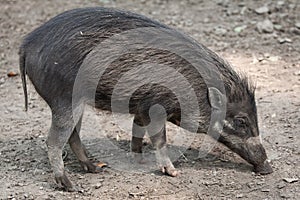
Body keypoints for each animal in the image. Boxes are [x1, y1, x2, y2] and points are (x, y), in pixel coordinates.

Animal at [18, 7, 272, 191]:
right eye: (241, 121)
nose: (268, 168)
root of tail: (26, 45)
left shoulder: (141, 108)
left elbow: (137, 132)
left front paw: (138, 160)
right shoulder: (155, 107)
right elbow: (159, 139)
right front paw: (173, 172)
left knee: (73, 136)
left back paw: (96, 168)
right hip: (63, 98)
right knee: (54, 140)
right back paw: (70, 186)